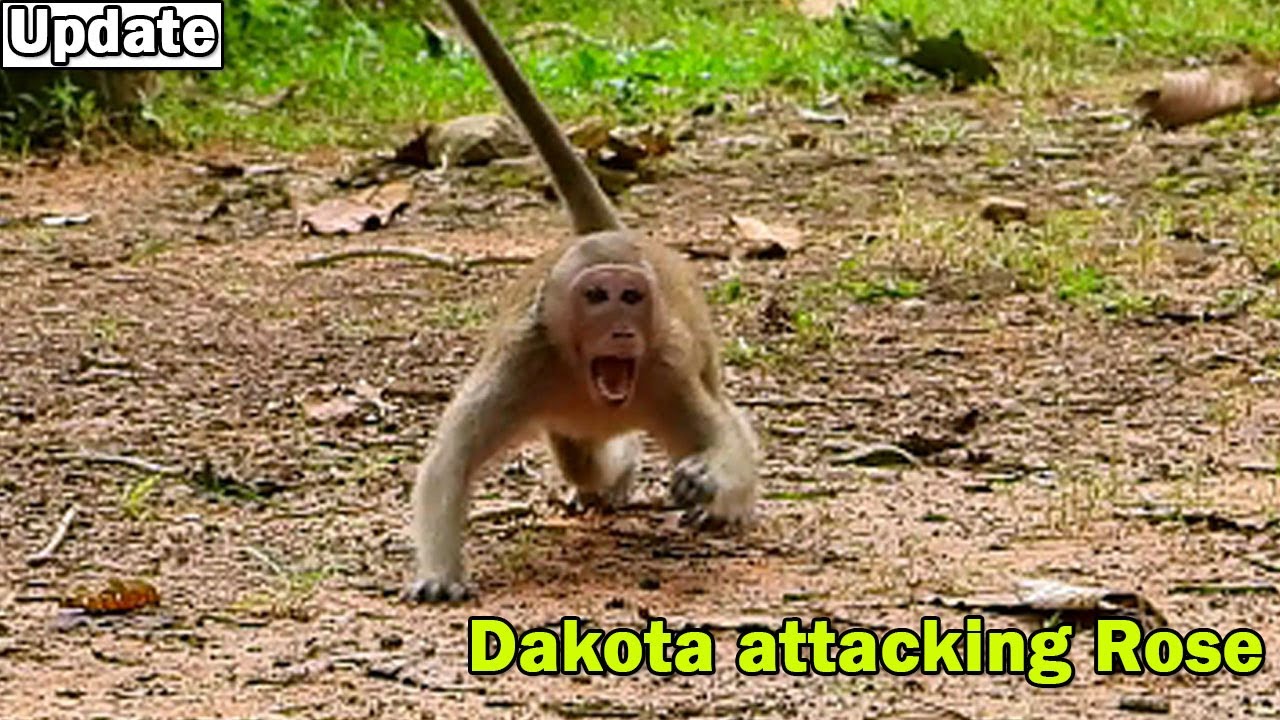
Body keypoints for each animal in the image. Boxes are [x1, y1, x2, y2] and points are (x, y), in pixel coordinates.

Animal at [406, 0, 760, 603]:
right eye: (597, 297)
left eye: (630, 297)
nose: (621, 329)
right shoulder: (523, 360)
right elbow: (450, 460)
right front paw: (438, 574)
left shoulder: (666, 367)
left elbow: (724, 439)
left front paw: (709, 481)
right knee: (582, 461)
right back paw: (610, 480)